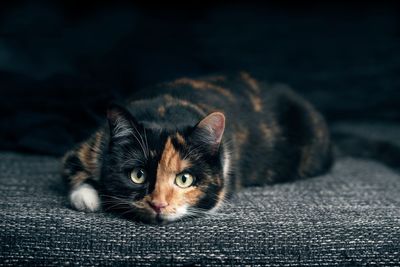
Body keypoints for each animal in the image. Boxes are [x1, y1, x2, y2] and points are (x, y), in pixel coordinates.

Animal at [61, 72, 332, 225]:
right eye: (138, 175)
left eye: (184, 179)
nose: (158, 204)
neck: (165, 112)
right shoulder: (93, 144)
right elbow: (71, 168)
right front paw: (88, 200)